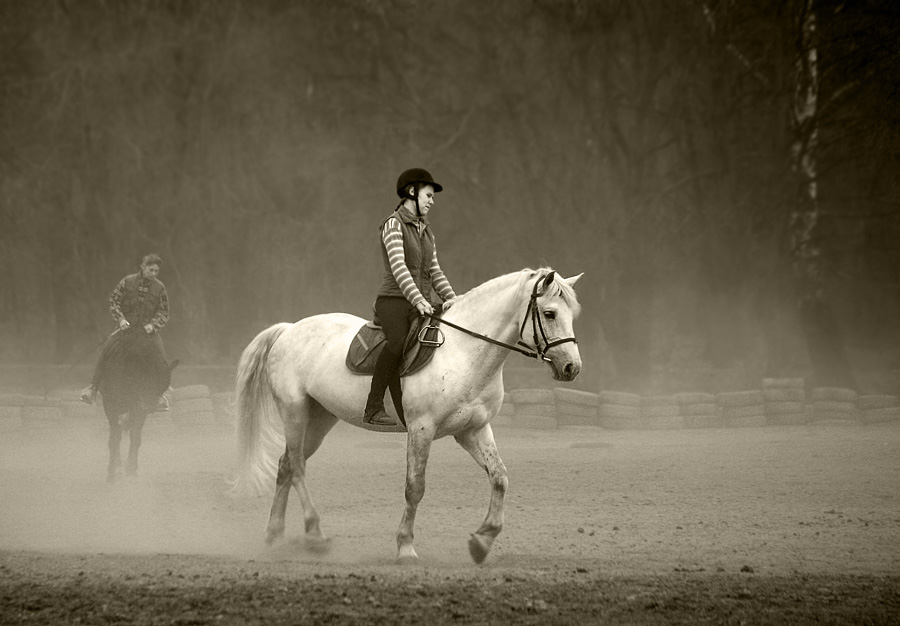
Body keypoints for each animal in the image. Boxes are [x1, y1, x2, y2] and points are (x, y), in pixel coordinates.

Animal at [98, 330, 178, 480]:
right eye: (143, 377)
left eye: (163, 382)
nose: (151, 404)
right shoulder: (110, 406)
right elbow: (115, 437)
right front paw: (112, 472)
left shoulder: (139, 410)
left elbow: (135, 437)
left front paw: (131, 469)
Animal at [232, 264, 584, 560]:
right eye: (550, 313)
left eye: (572, 315)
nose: (572, 368)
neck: (464, 352)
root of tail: (289, 330)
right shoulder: (421, 429)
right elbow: (415, 487)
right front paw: (405, 547)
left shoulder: (473, 429)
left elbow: (500, 477)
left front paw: (482, 541)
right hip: (294, 412)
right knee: (297, 468)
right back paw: (315, 534)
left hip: (320, 418)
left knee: (286, 465)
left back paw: (274, 535)